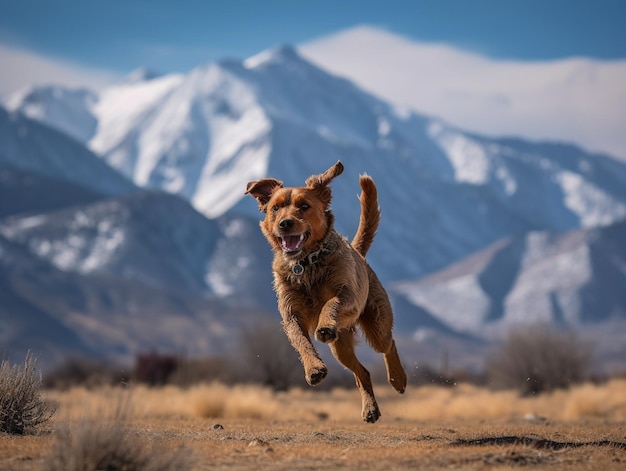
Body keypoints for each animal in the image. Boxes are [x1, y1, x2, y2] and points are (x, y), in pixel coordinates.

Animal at [244, 160, 404, 422]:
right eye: (275, 208)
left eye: (304, 206)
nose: (284, 223)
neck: (306, 263)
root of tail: (359, 254)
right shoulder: (291, 314)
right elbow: (301, 342)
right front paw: (314, 369)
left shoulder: (347, 296)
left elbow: (331, 303)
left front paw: (326, 325)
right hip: (341, 347)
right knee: (363, 373)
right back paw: (370, 409)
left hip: (376, 324)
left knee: (388, 344)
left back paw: (398, 378)